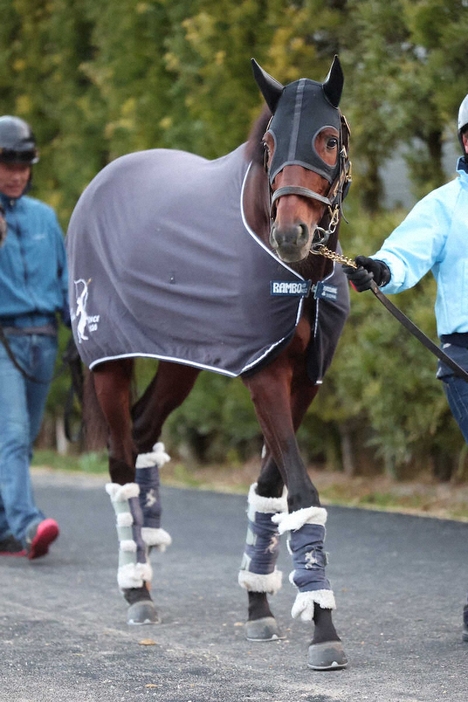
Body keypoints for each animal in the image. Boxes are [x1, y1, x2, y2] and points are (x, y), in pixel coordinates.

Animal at [66, 55, 352, 672]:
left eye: (328, 137)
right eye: (269, 142)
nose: (290, 234)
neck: (300, 277)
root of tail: (100, 182)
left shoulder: (304, 378)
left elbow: (271, 487)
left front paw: (259, 604)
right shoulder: (263, 373)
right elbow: (301, 491)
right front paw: (322, 626)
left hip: (181, 360)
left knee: (144, 431)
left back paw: (145, 562)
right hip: (108, 364)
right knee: (120, 459)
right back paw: (137, 589)